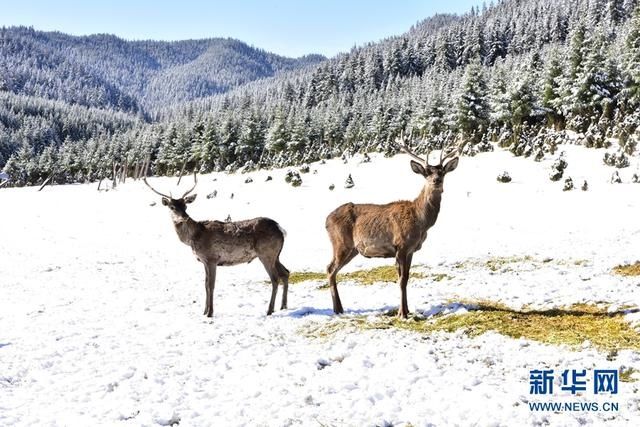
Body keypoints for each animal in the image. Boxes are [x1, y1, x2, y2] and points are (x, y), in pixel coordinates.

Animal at [144, 173, 290, 318]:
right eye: (172, 207)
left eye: (185, 206)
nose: (185, 217)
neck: (193, 237)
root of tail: (281, 229)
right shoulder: (203, 261)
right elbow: (205, 285)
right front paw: (204, 311)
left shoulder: (211, 258)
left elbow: (211, 285)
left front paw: (210, 313)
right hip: (276, 255)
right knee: (285, 272)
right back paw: (283, 306)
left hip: (266, 253)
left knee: (275, 278)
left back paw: (270, 310)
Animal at [328, 136, 462, 318]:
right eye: (426, 173)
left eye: (442, 172)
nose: (436, 180)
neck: (421, 221)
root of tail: (326, 219)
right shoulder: (401, 245)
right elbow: (401, 280)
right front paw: (402, 313)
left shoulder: (411, 250)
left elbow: (407, 277)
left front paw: (407, 310)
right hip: (341, 243)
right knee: (330, 269)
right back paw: (337, 309)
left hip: (352, 249)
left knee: (332, 270)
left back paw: (340, 308)